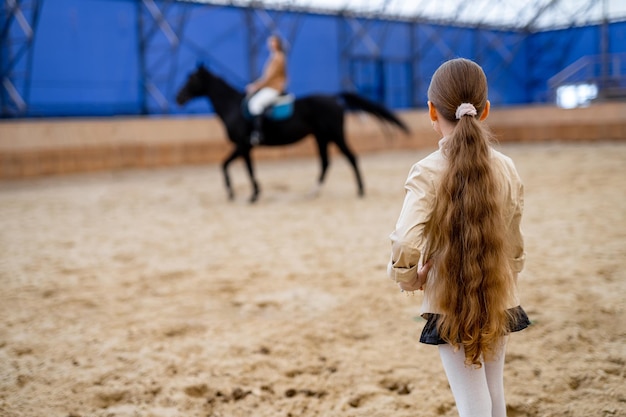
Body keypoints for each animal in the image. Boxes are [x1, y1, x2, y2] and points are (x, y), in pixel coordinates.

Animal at [178, 64, 408, 202]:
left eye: (192, 79)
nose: (178, 98)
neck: (233, 107)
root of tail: (334, 98)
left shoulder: (244, 145)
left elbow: (242, 168)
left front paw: (251, 194)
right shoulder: (243, 146)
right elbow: (227, 165)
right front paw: (235, 192)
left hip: (334, 136)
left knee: (351, 157)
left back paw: (360, 191)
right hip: (321, 137)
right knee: (326, 162)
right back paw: (313, 192)